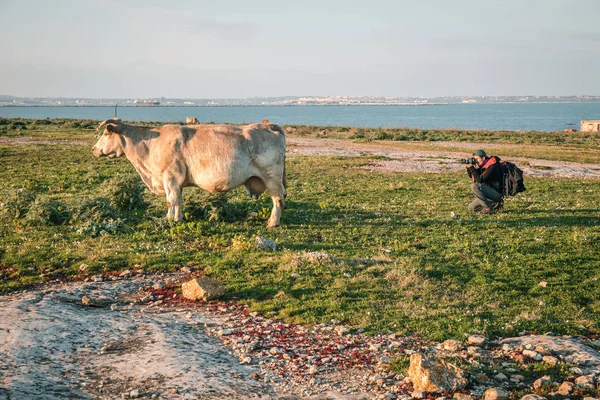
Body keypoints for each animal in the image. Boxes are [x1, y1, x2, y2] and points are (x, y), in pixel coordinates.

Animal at [92, 119, 288, 228]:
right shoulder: (176, 182)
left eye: (105, 134)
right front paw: (177, 218)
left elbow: (170, 201)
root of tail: (269, 126)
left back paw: (273, 223)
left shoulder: (170, 177)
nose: (94, 149)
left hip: (272, 177)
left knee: (277, 199)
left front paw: (170, 220)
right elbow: (178, 200)